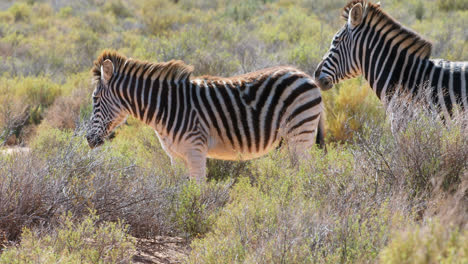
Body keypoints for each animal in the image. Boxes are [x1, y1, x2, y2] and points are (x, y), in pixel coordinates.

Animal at [86, 50, 324, 180]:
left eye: (95, 99)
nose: (88, 140)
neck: (166, 107)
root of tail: (305, 75)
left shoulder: (196, 151)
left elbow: (198, 191)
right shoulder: (175, 157)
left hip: (300, 133)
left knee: (307, 172)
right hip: (288, 141)